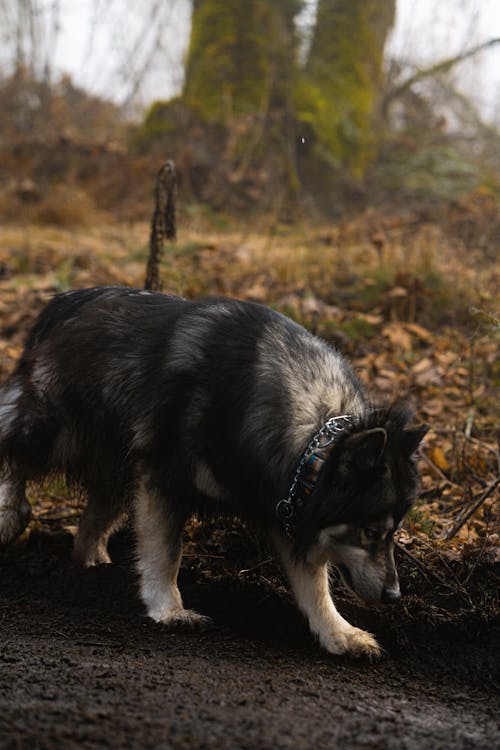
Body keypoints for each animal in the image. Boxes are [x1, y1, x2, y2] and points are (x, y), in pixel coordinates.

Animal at [0, 286, 430, 656]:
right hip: (55, 431)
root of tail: (63, 302)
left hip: (119, 469)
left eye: (394, 533)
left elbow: (314, 585)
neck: (312, 432)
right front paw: (169, 609)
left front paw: (339, 632)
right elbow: (166, 551)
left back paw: (92, 566)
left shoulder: (285, 502)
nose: (394, 596)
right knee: (11, 449)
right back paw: (11, 513)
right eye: (371, 532)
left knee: (92, 520)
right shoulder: (163, 480)